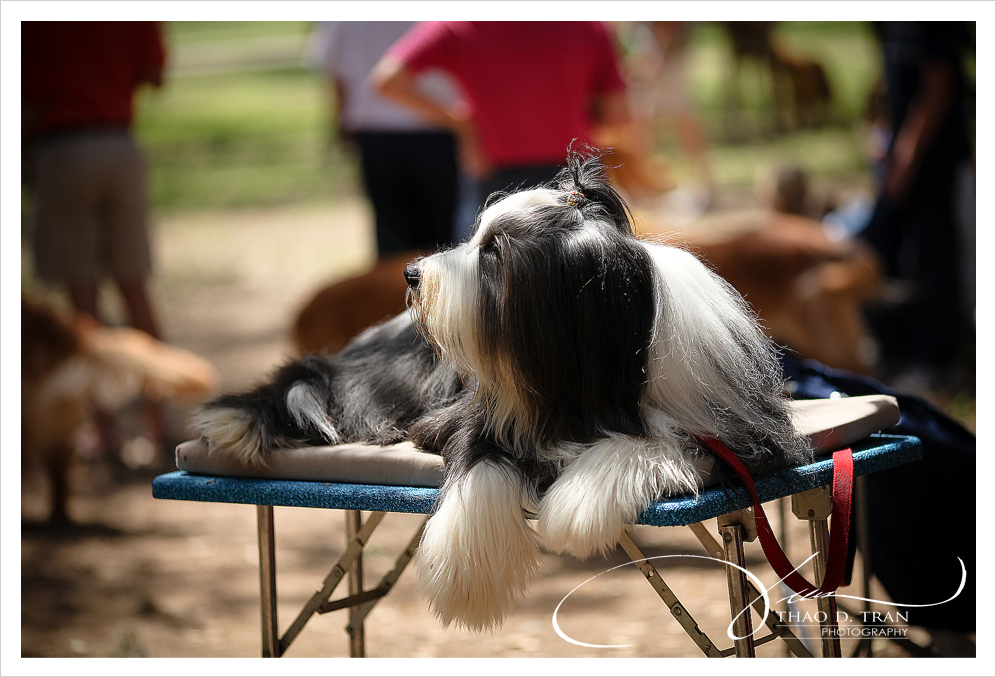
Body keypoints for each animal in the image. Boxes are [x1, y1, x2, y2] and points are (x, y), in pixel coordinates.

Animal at [193, 152, 808, 628]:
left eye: (495, 252)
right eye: (476, 236)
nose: (413, 274)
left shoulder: (748, 433)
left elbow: (665, 443)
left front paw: (581, 505)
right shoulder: (469, 413)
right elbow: (480, 462)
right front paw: (466, 576)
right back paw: (237, 421)